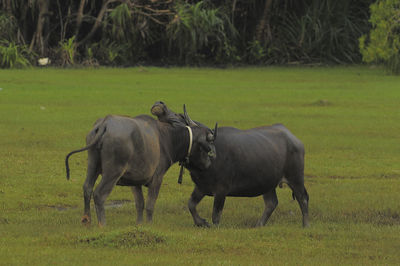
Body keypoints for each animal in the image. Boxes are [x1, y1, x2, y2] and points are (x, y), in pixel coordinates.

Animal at [65, 103, 219, 227]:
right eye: (205, 146)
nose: (209, 163)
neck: (168, 138)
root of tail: (105, 123)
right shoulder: (157, 178)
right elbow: (150, 204)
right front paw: (149, 224)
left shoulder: (135, 182)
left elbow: (140, 204)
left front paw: (139, 224)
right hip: (113, 172)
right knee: (99, 194)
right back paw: (102, 224)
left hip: (93, 164)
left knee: (87, 188)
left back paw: (86, 220)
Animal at [153, 103, 310, 228]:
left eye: (177, 117)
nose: (160, 106)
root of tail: (296, 140)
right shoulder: (201, 187)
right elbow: (191, 204)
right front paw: (201, 222)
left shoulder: (221, 191)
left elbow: (216, 215)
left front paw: (212, 225)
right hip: (268, 182)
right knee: (271, 203)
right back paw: (259, 225)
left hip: (296, 178)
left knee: (303, 198)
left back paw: (305, 225)